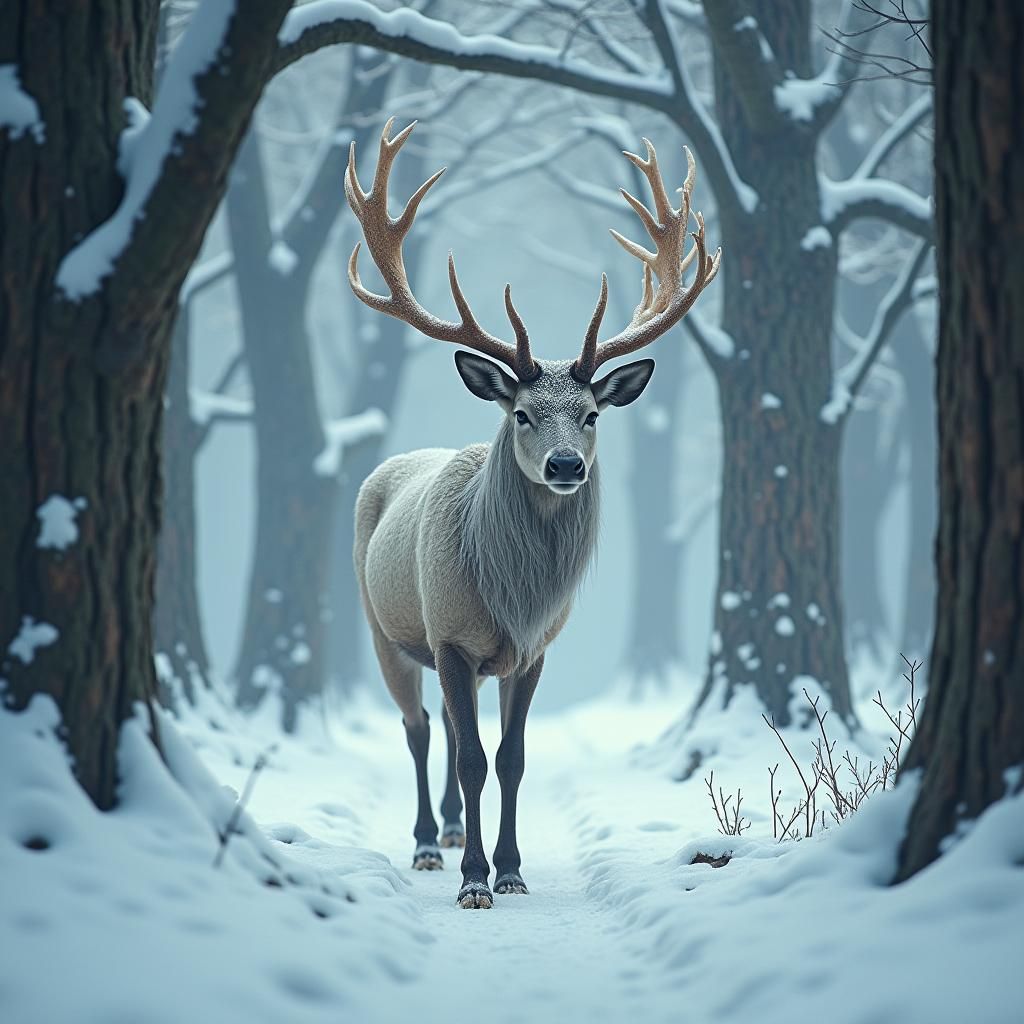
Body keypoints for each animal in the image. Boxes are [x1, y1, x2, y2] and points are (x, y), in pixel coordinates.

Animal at [346, 119, 720, 909]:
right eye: (521, 413)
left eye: (591, 415)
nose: (566, 466)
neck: (511, 596)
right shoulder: (450, 636)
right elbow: (470, 758)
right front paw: (474, 882)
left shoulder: (534, 648)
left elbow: (510, 757)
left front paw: (511, 870)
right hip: (383, 628)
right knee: (419, 729)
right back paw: (428, 843)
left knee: (449, 728)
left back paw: (452, 829)